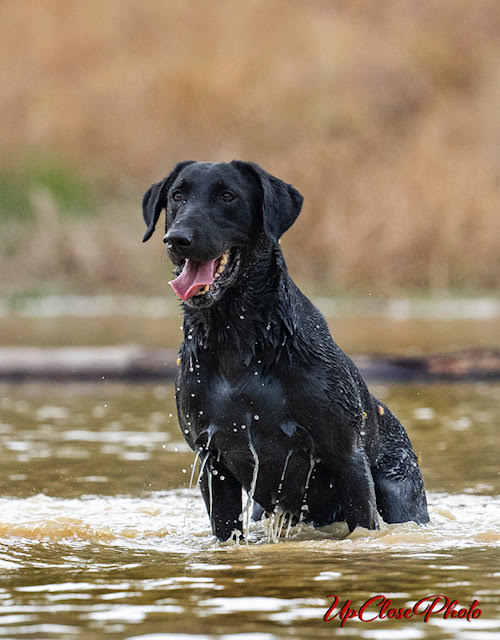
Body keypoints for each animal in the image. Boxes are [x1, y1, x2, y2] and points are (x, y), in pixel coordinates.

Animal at [142, 162, 430, 544]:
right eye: (177, 196)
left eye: (228, 195)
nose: (177, 239)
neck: (235, 341)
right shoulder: (212, 458)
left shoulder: (346, 456)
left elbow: (363, 523)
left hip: (400, 493)